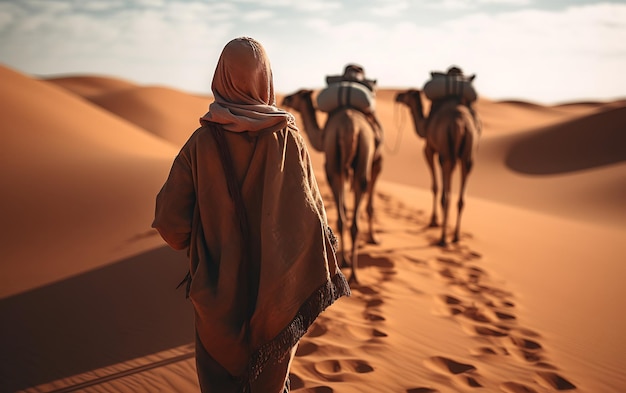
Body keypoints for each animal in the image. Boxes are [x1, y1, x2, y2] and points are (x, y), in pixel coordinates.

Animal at [282, 90, 380, 284]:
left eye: (296, 94)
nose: (285, 99)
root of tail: (350, 128)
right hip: (352, 160)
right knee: (353, 205)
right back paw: (352, 272)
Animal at [394, 90, 478, 247]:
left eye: (407, 93)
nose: (397, 96)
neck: (425, 125)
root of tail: (462, 124)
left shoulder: (430, 149)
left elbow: (435, 187)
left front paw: (433, 221)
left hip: (447, 152)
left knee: (447, 196)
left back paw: (443, 238)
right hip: (467, 154)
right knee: (460, 196)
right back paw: (455, 236)